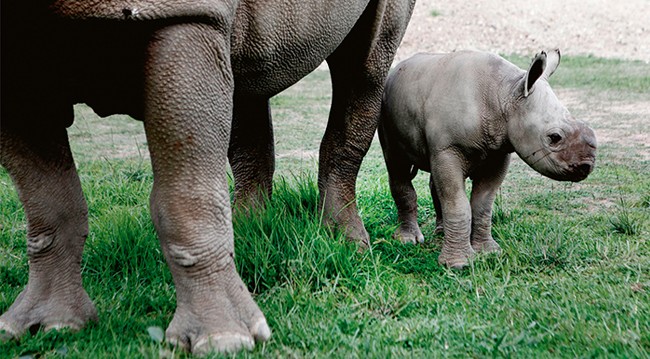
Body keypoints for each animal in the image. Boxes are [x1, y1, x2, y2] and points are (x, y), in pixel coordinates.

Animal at [0, 0, 412, 354]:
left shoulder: (185, 15)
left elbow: (183, 194)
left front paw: (223, 341)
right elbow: (49, 198)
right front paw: (48, 327)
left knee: (364, 64)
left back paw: (348, 245)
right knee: (244, 73)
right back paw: (248, 231)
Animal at [378, 50, 596, 270]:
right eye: (554, 137)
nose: (587, 166)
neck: (506, 94)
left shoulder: (497, 152)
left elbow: (482, 204)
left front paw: (488, 252)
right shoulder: (449, 148)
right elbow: (457, 203)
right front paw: (459, 265)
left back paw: (441, 233)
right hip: (386, 109)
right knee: (396, 164)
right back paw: (408, 240)